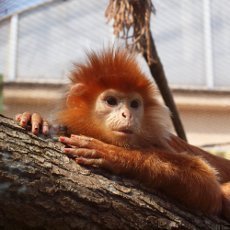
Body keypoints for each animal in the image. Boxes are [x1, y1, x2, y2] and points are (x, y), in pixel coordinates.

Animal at [15, 47, 229, 220]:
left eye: (134, 104)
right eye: (111, 101)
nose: (128, 114)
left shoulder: (160, 142)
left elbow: (208, 186)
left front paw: (112, 154)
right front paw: (35, 118)